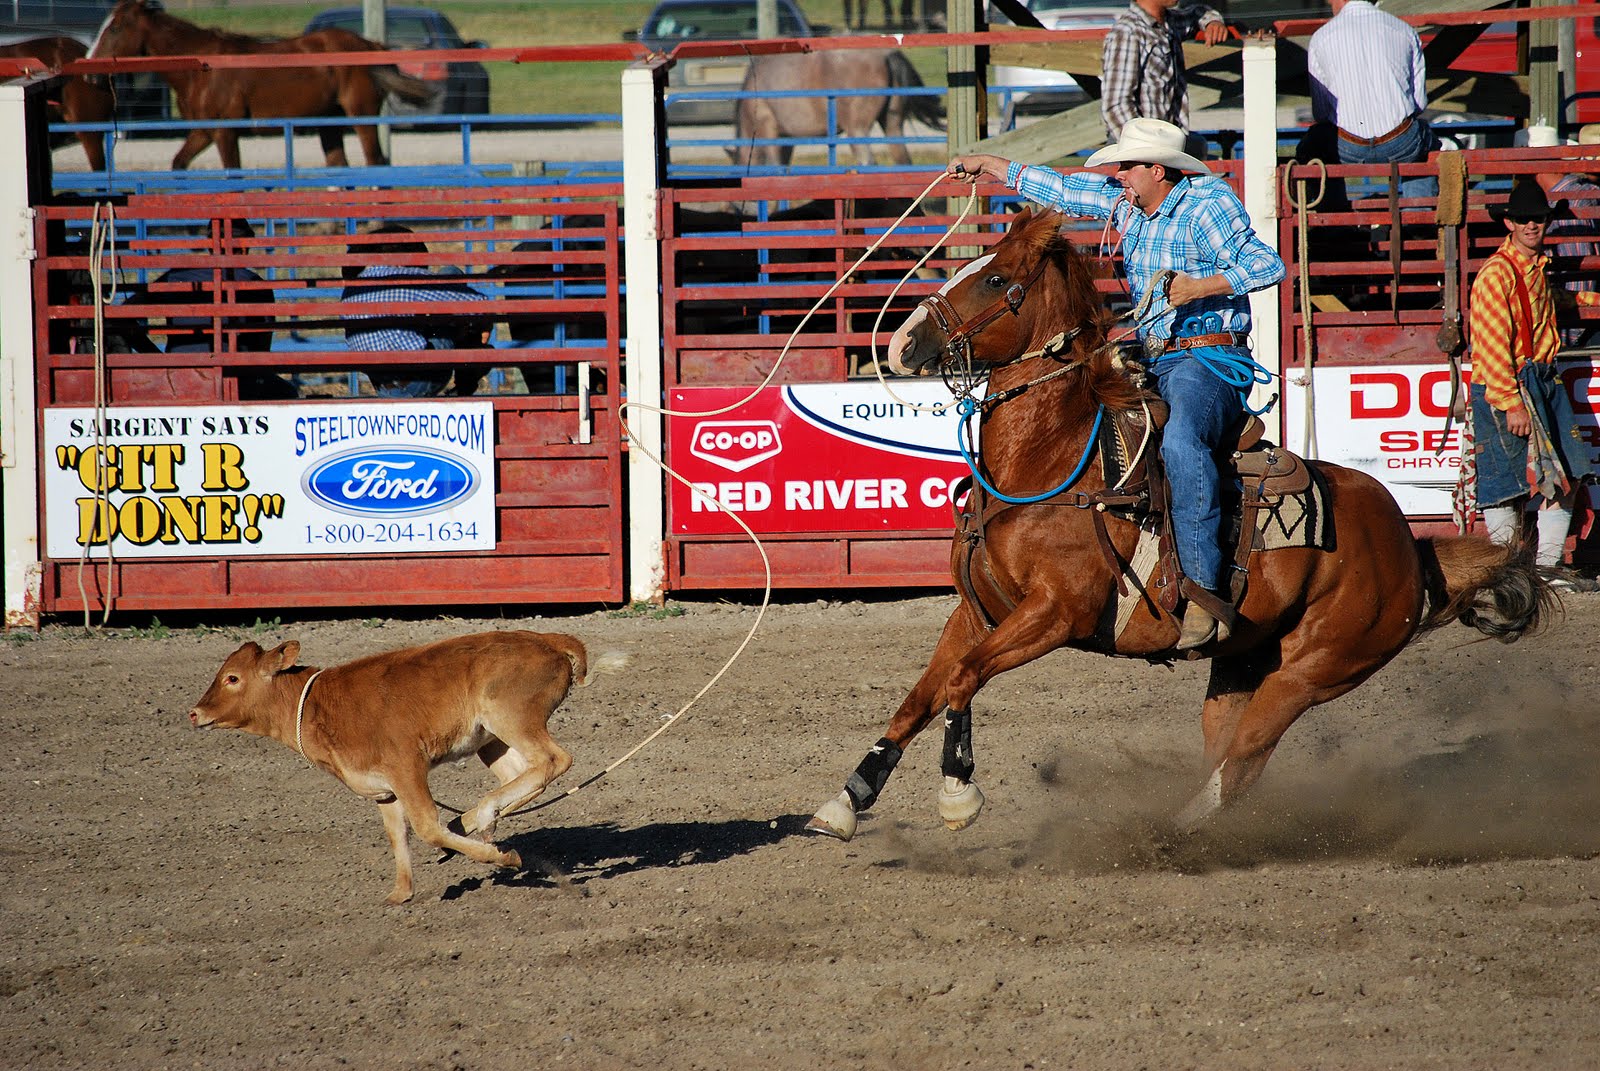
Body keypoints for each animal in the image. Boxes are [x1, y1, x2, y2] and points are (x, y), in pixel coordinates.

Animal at [86, 0, 438, 170]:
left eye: (115, 28)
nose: (90, 73)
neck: (200, 71)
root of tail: (369, 44)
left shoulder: (225, 133)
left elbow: (234, 173)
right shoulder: (202, 132)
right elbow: (179, 164)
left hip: (360, 115)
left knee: (374, 162)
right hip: (329, 121)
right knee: (339, 165)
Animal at [187, 630, 624, 896]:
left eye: (232, 679)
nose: (194, 713)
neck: (315, 705)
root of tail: (547, 639)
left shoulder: (406, 766)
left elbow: (426, 827)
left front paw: (501, 857)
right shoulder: (383, 789)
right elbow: (398, 834)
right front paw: (400, 893)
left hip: (512, 718)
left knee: (553, 760)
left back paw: (479, 818)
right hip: (492, 739)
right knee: (524, 775)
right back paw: (478, 820)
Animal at [732, 49, 940, 167]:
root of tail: (886, 56)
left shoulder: (769, 130)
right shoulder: (787, 140)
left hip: (856, 130)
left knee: (868, 162)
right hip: (892, 124)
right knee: (903, 161)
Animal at [806, 206, 1555, 845]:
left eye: (996, 278)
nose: (903, 342)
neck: (1046, 464)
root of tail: (1408, 543)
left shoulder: (1057, 613)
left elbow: (962, 681)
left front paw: (958, 793)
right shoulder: (977, 612)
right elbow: (920, 695)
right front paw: (845, 801)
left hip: (1314, 671)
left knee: (1245, 760)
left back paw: (1168, 833)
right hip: (1242, 662)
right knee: (1226, 748)